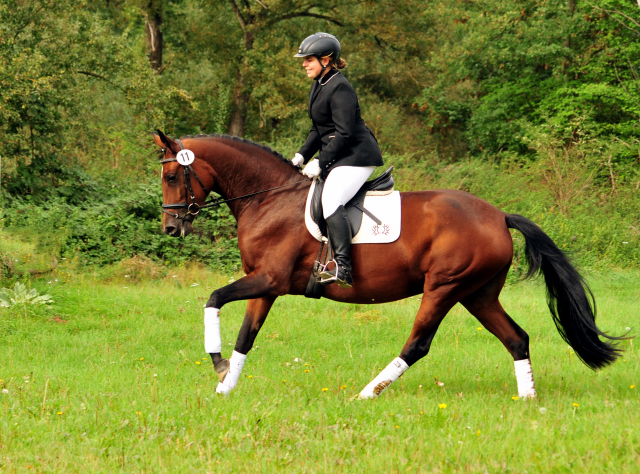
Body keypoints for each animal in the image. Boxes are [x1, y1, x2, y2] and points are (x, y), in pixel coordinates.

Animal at [152, 131, 624, 400]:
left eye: (173, 177)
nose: (171, 228)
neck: (268, 198)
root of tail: (498, 215)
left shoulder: (269, 279)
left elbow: (214, 298)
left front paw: (217, 366)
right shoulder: (265, 286)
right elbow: (245, 336)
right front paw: (225, 386)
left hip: (444, 288)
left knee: (418, 344)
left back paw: (366, 393)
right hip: (477, 294)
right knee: (516, 338)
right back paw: (528, 400)